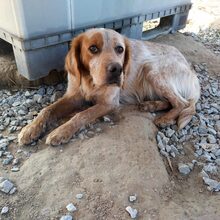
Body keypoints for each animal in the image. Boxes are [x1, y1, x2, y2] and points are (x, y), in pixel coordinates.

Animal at [18, 28, 200, 146]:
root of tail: (192, 73)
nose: (117, 70)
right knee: (172, 101)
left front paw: (61, 131)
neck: (90, 81)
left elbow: (82, 115)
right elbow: (47, 110)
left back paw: (166, 118)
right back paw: (151, 105)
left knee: (182, 103)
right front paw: (30, 129)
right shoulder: (73, 96)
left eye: (120, 49)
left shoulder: (108, 103)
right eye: (93, 48)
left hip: (151, 68)